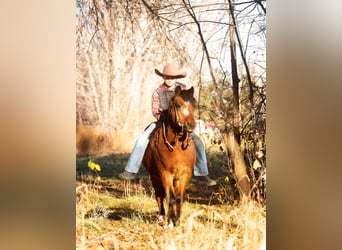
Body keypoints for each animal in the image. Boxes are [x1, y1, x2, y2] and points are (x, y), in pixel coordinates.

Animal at [142, 86, 196, 227]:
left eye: (194, 104)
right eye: (178, 105)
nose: (191, 125)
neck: (177, 147)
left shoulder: (184, 175)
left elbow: (179, 198)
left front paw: (178, 221)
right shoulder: (165, 174)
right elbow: (170, 198)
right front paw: (171, 222)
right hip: (155, 177)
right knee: (159, 196)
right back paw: (162, 216)